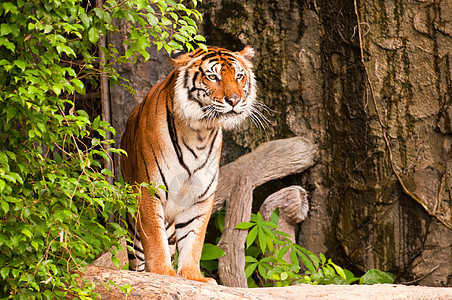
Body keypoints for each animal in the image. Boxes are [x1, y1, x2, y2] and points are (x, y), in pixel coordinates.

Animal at [120, 45, 258, 284]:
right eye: (213, 77)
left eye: (239, 76)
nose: (234, 100)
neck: (199, 132)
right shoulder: (149, 191)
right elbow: (154, 238)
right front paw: (162, 273)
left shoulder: (199, 196)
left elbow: (194, 238)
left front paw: (193, 276)